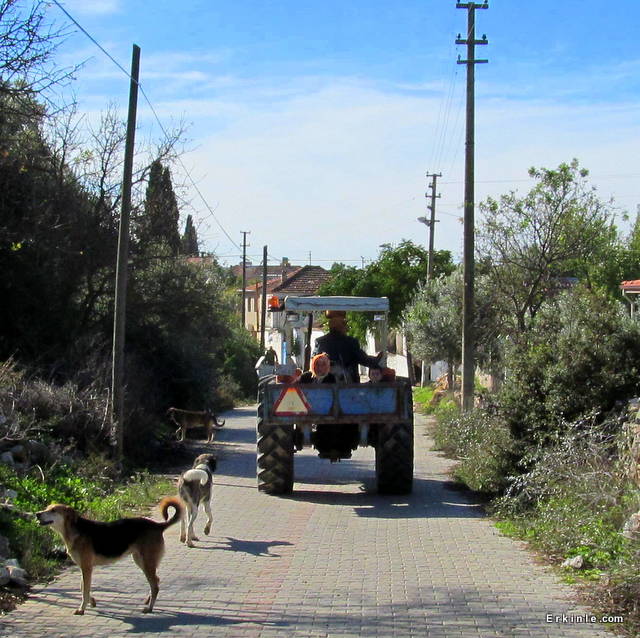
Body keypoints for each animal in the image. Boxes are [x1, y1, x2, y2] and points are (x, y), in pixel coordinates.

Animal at [36, 498, 184, 616]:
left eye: (53, 510)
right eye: (47, 508)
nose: (37, 514)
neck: (73, 530)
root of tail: (158, 526)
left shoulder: (86, 568)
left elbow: (85, 590)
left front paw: (82, 609)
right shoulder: (84, 568)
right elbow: (83, 587)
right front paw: (92, 601)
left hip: (146, 563)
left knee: (155, 586)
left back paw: (149, 608)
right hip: (141, 561)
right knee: (156, 581)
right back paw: (148, 600)